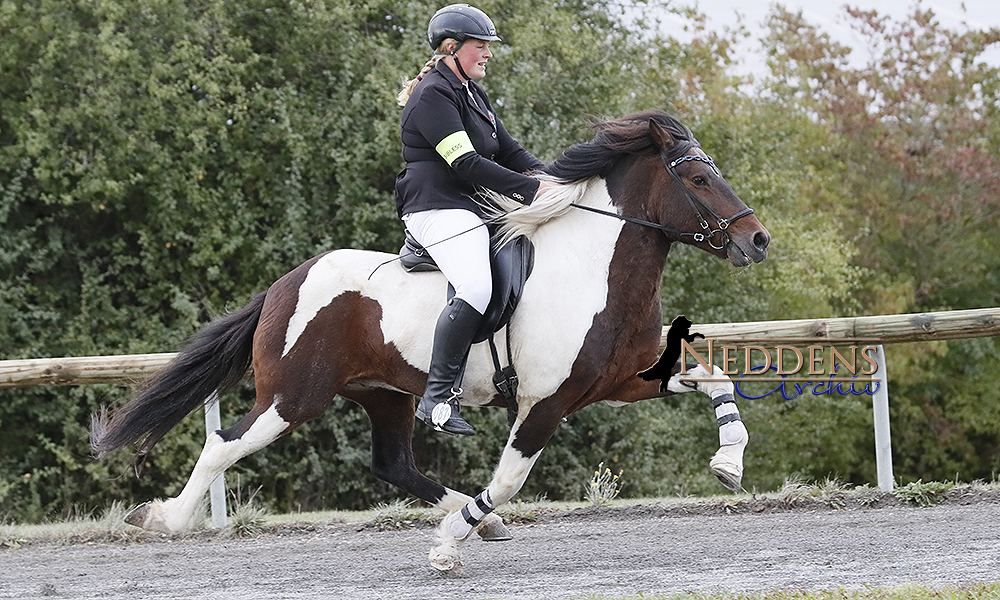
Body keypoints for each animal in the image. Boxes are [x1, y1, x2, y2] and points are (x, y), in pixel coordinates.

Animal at [92, 109, 764, 572]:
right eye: (699, 179)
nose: (756, 241)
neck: (593, 269)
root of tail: (286, 284)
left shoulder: (621, 380)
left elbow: (717, 377)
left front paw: (729, 464)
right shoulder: (544, 403)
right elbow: (510, 479)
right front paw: (447, 547)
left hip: (385, 393)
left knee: (393, 463)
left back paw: (475, 520)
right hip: (291, 397)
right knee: (223, 446)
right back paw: (163, 519)